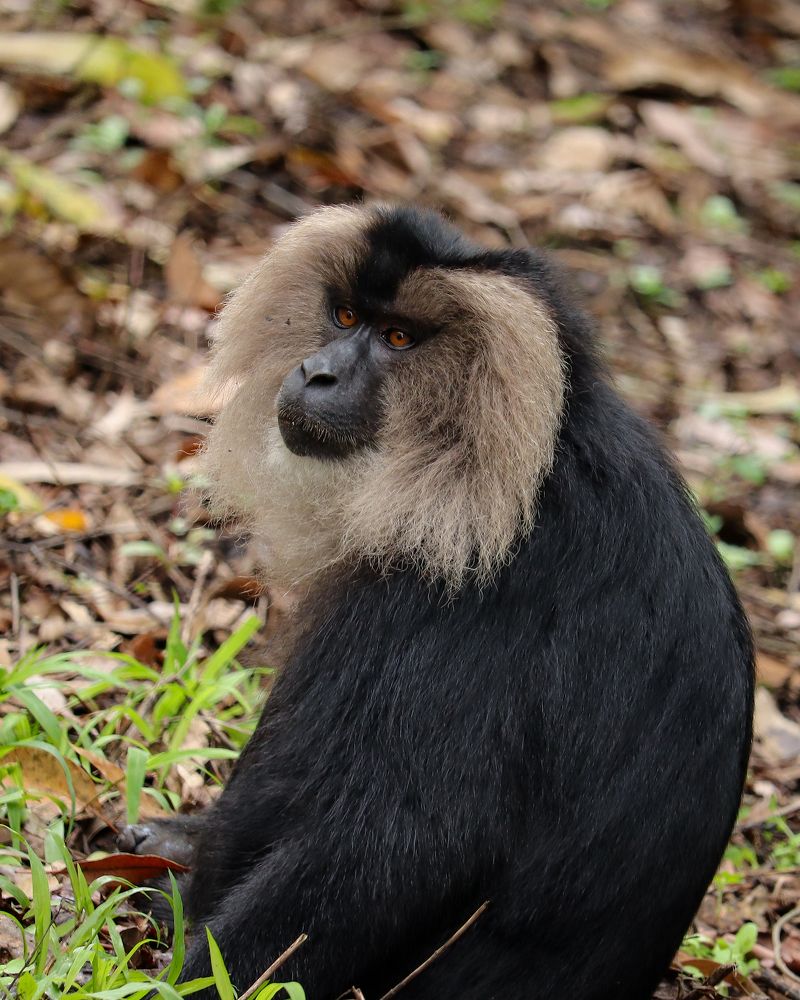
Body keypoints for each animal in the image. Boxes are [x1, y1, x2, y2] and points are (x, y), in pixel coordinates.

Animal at [118, 204, 754, 1000]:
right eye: (345, 316)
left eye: (397, 338)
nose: (318, 371)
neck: (525, 471)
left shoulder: (464, 603)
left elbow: (406, 841)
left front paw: (195, 976)